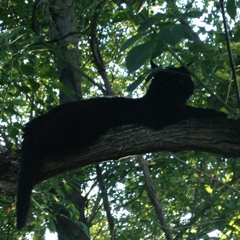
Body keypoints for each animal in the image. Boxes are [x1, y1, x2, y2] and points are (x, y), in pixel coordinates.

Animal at [16, 62, 225, 230]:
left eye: (180, 81)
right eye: (165, 82)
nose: (173, 88)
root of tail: (34, 124)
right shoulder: (158, 114)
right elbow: (186, 109)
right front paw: (215, 112)